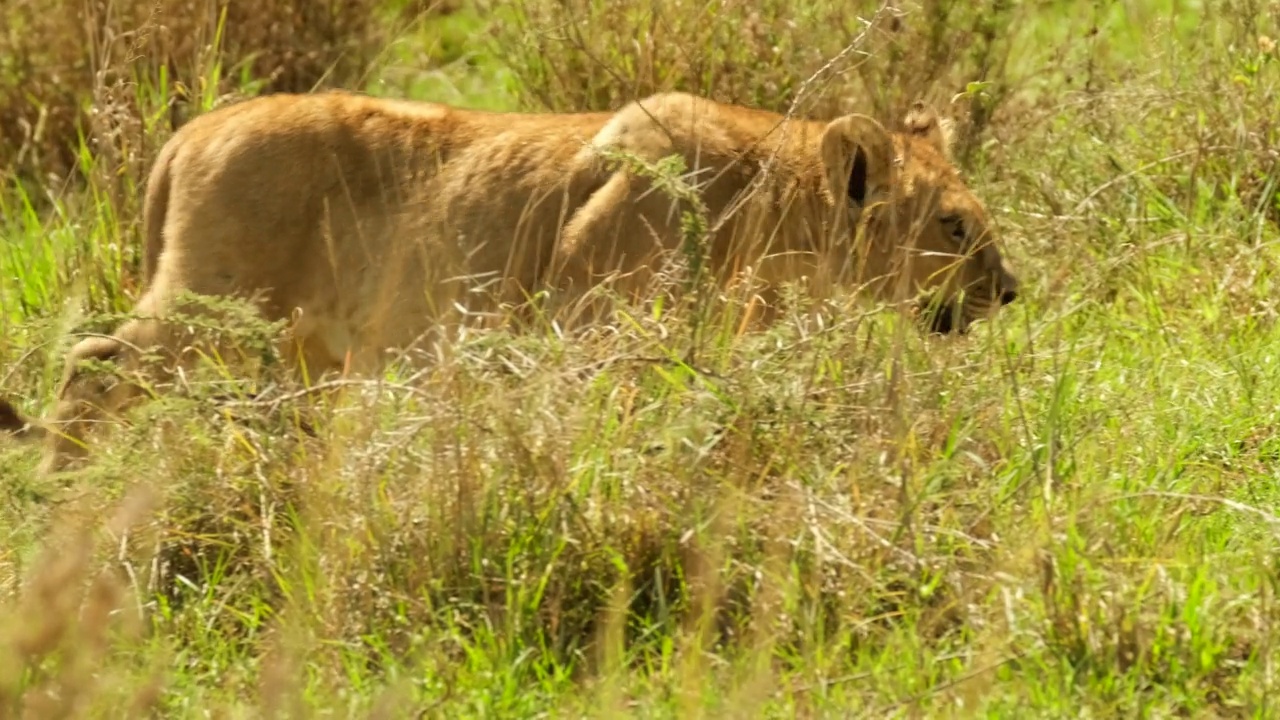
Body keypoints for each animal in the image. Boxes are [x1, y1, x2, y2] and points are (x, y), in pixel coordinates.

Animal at [0, 88, 1018, 471]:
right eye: (953, 227)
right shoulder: (593, 322)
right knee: (92, 359)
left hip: (298, 348)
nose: (1011, 293)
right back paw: (63, 493)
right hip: (215, 307)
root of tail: (196, 127)